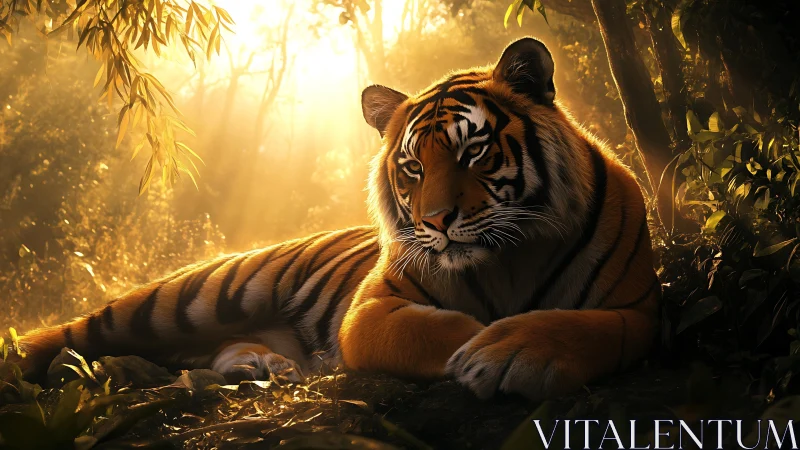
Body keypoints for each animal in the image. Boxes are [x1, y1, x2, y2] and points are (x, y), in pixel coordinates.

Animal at [11, 37, 660, 401]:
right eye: (413, 167)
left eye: (473, 151)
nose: (437, 221)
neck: (508, 260)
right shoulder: (374, 307)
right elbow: (434, 329)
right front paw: (480, 349)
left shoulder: (635, 309)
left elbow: (583, 328)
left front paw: (510, 351)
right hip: (190, 296)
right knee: (72, 331)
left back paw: (263, 364)